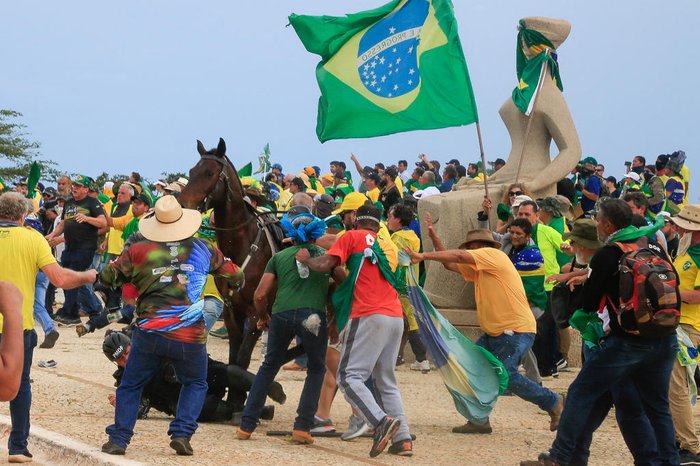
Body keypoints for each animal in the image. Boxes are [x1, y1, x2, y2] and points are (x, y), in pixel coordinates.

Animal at [178, 137, 274, 370]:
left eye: (209, 173)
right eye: (192, 171)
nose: (183, 206)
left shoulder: (256, 315)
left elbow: (241, 361)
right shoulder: (232, 312)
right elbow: (233, 361)